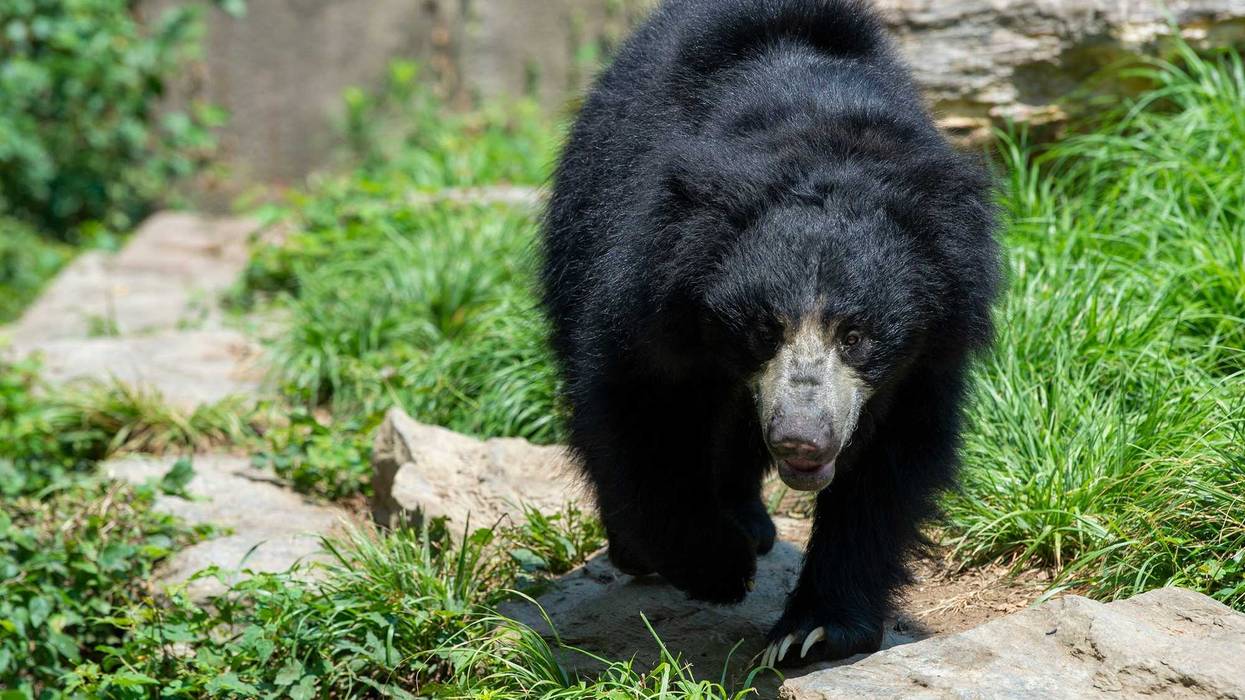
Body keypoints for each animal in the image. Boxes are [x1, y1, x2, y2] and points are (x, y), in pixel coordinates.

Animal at [539, 0, 1002, 667]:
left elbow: (892, 461)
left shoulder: (931, 340)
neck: (821, 134)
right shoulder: (642, 273)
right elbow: (638, 409)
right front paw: (718, 567)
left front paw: (813, 631)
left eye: (856, 334)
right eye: (763, 329)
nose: (802, 440)